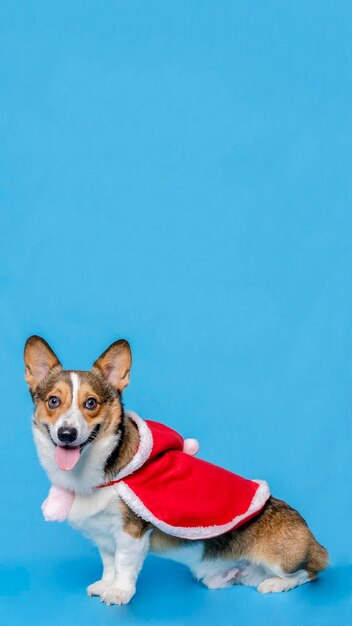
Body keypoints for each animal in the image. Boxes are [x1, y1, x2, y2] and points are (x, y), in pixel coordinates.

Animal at [23, 336, 328, 604]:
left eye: (91, 403)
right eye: (53, 401)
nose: (66, 434)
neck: (97, 475)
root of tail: (313, 539)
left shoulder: (131, 532)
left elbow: (123, 564)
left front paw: (120, 592)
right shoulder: (105, 535)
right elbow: (109, 563)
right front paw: (105, 585)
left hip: (283, 559)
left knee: (308, 573)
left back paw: (275, 584)